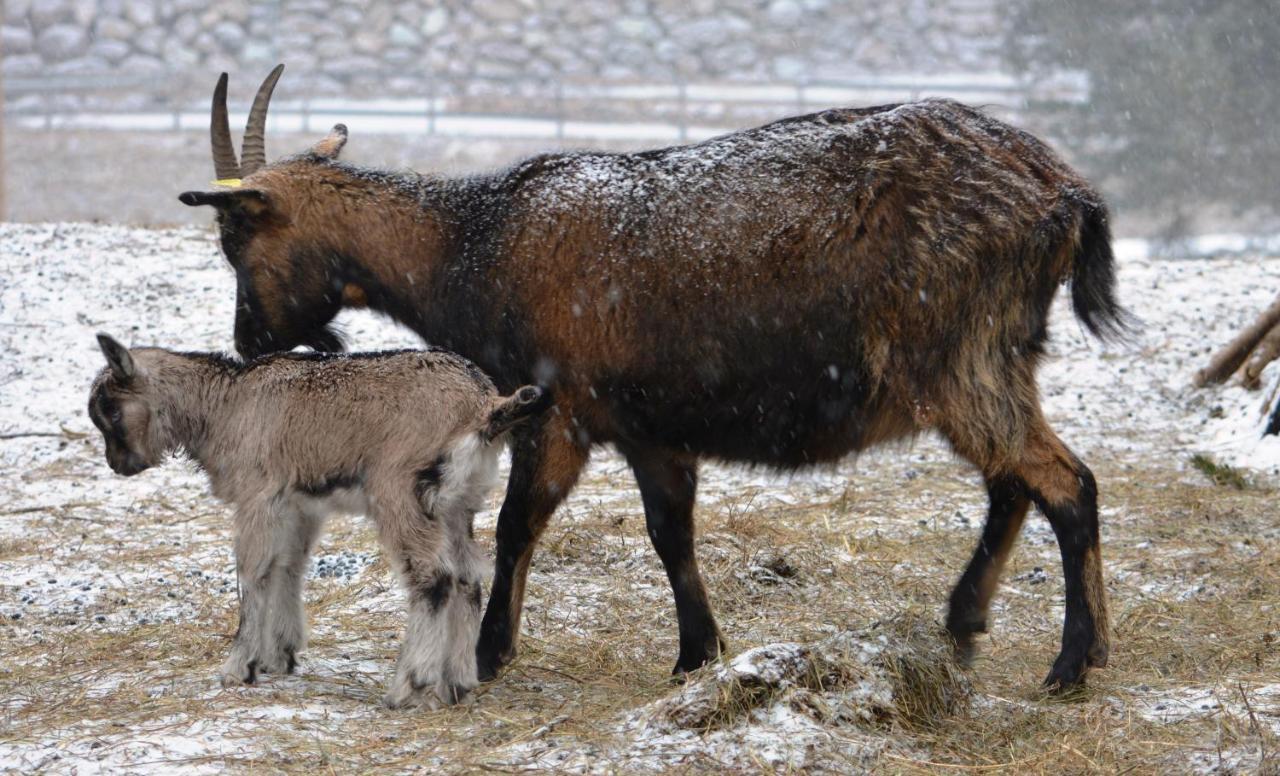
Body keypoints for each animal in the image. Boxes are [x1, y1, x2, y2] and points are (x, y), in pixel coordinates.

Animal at [183, 66, 1131, 691]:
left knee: (1067, 484)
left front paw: (490, 652)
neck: (473, 243)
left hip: (963, 360)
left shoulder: (555, 409)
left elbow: (518, 527)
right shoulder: (649, 426)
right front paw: (697, 652)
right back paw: (965, 623)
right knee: (1015, 484)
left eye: (236, 237)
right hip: (991, 365)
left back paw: (1073, 662)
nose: (249, 342)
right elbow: (672, 534)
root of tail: (1066, 194)